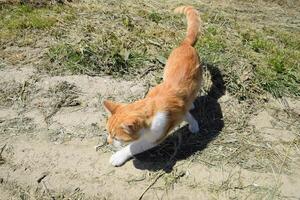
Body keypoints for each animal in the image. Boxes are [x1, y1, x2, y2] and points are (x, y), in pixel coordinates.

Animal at [102, 5, 203, 166]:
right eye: (108, 133)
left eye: (116, 137)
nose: (108, 141)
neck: (151, 107)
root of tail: (185, 44)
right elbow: (186, 114)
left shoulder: (156, 135)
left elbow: (134, 146)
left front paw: (118, 156)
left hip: (199, 78)